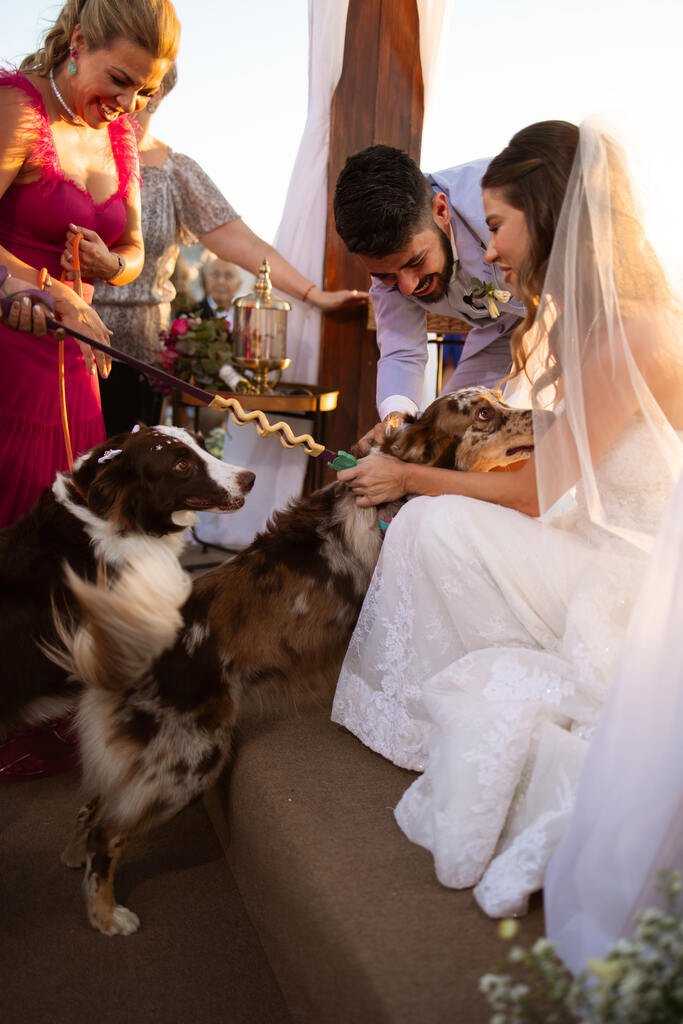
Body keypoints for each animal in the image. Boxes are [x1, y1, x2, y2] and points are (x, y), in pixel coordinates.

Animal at [50, 389, 536, 937]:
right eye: (482, 413)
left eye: (498, 397)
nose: (541, 414)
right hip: (189, 761)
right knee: (108, 831)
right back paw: (107, 915)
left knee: (95, 802)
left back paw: (74, 858)